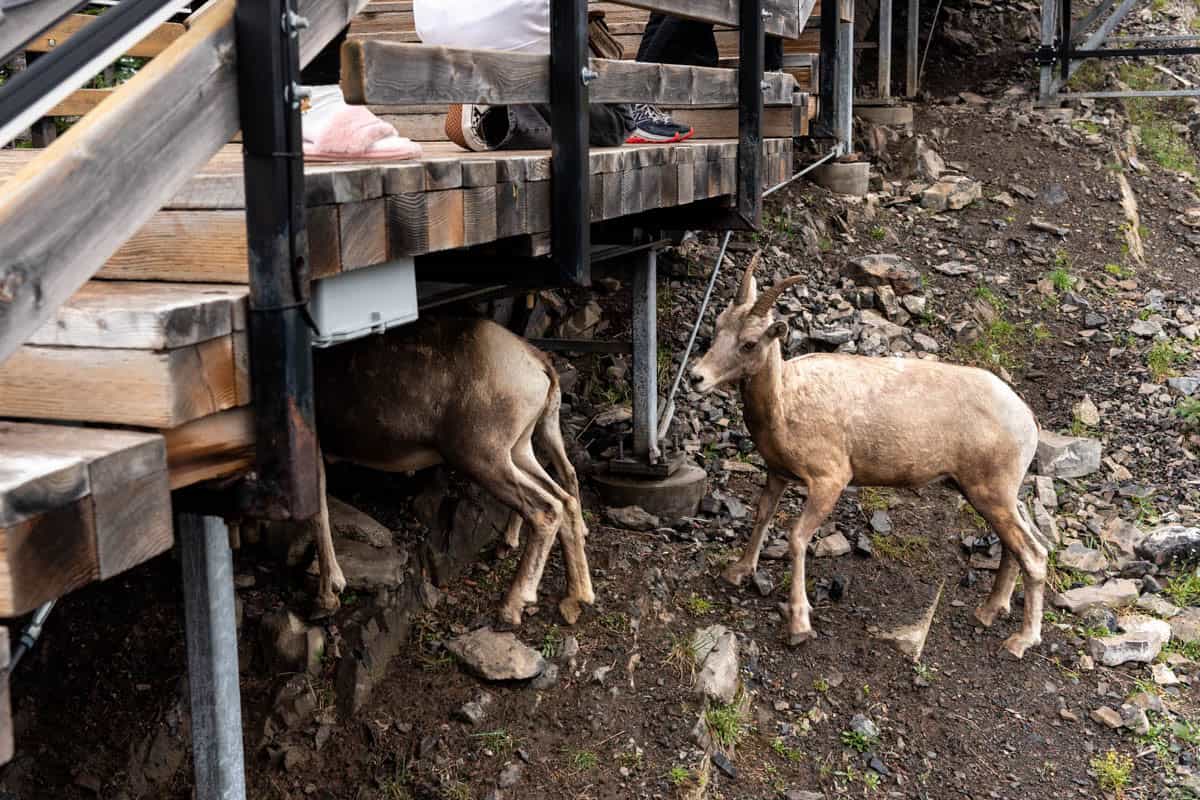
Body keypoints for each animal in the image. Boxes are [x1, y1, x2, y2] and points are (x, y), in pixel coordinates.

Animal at [305, 317, 594, 627]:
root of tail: (538, 364)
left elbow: (318, 513)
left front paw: (327, 597)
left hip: (484, 458)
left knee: (547, 508)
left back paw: (511, 606)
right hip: (519, 449)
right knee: (566, 496)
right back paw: (576, 599)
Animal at [688, 253, 1047, 658]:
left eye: (749, 343)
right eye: (717, 326)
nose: (697, 377)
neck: (788, 402)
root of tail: (1027, 418)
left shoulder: (829, 481)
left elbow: (797, 537)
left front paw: (799, 625)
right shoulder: (777, 472)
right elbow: (763, 514)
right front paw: (737, 572)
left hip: (991, 492)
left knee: (1034, 554)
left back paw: (1019, 640)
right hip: (994, 494)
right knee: (1020, 545)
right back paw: (988, 611)